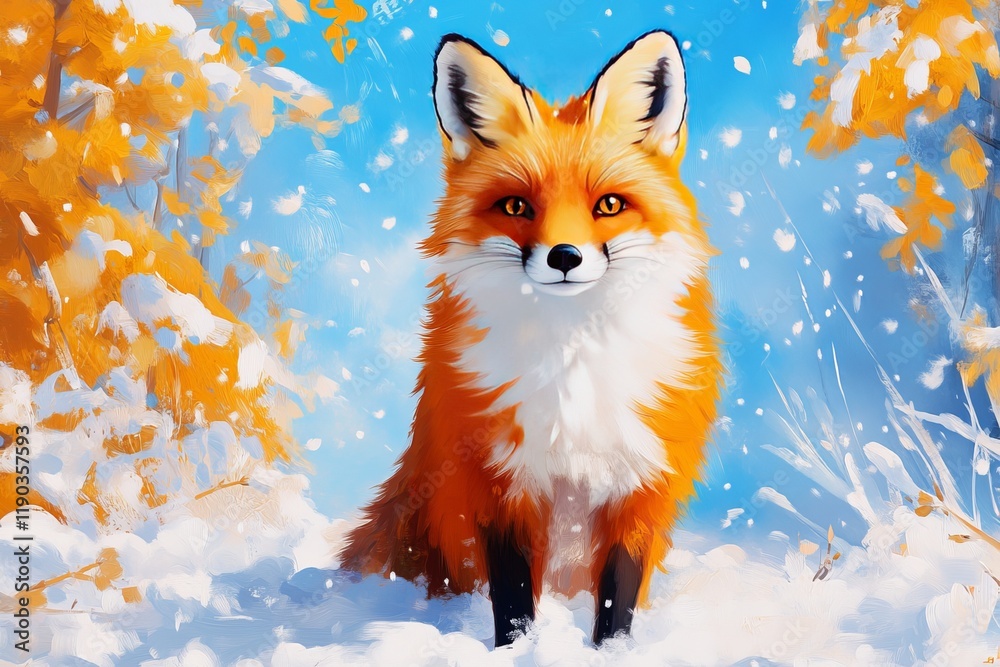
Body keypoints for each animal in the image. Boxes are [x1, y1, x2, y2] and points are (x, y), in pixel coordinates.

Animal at [340, 30, 722, 648]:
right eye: (517, 206)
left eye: (608, 205)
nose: (564, 257)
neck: (573, 365)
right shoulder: (496, 485)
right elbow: (514, 598)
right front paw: (517, 653)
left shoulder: (640, 488)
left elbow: (616, 599)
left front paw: (611, 655)